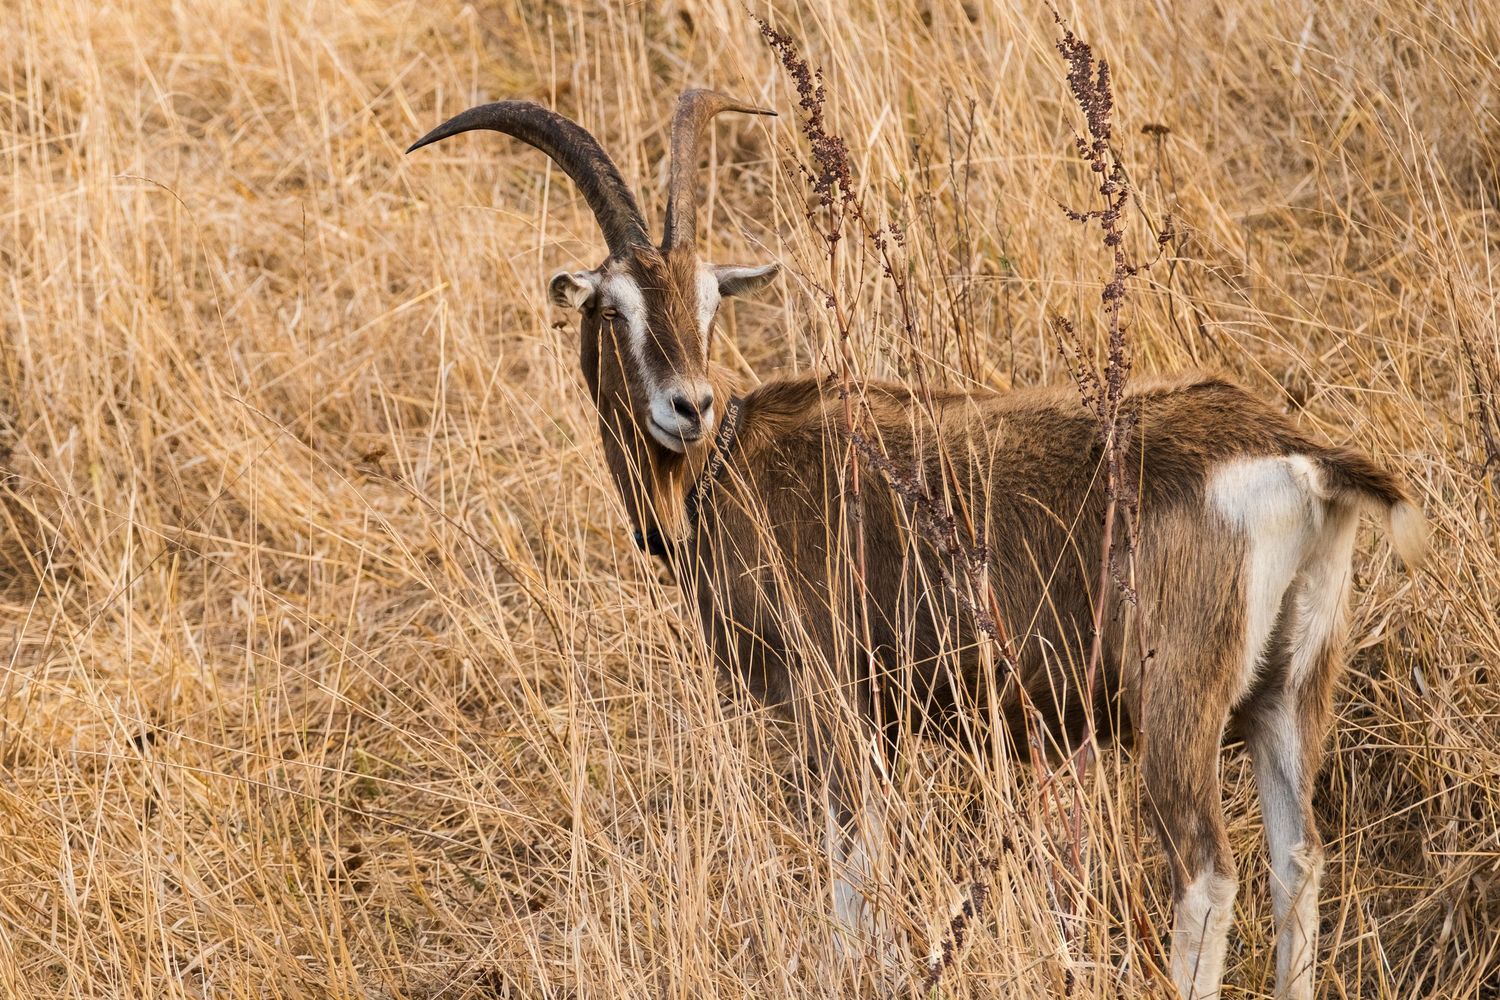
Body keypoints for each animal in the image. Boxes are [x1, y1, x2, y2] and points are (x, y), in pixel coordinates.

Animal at [407, 91, 1428, 1000]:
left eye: (705, 303)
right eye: (615, 306)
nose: (686, 407)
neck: (734, 460)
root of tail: (1298, 458)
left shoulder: (832, 703)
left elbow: (851, 875)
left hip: (1176, 701)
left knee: (1207, 872)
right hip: (1287, 694)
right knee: (1298, 863)